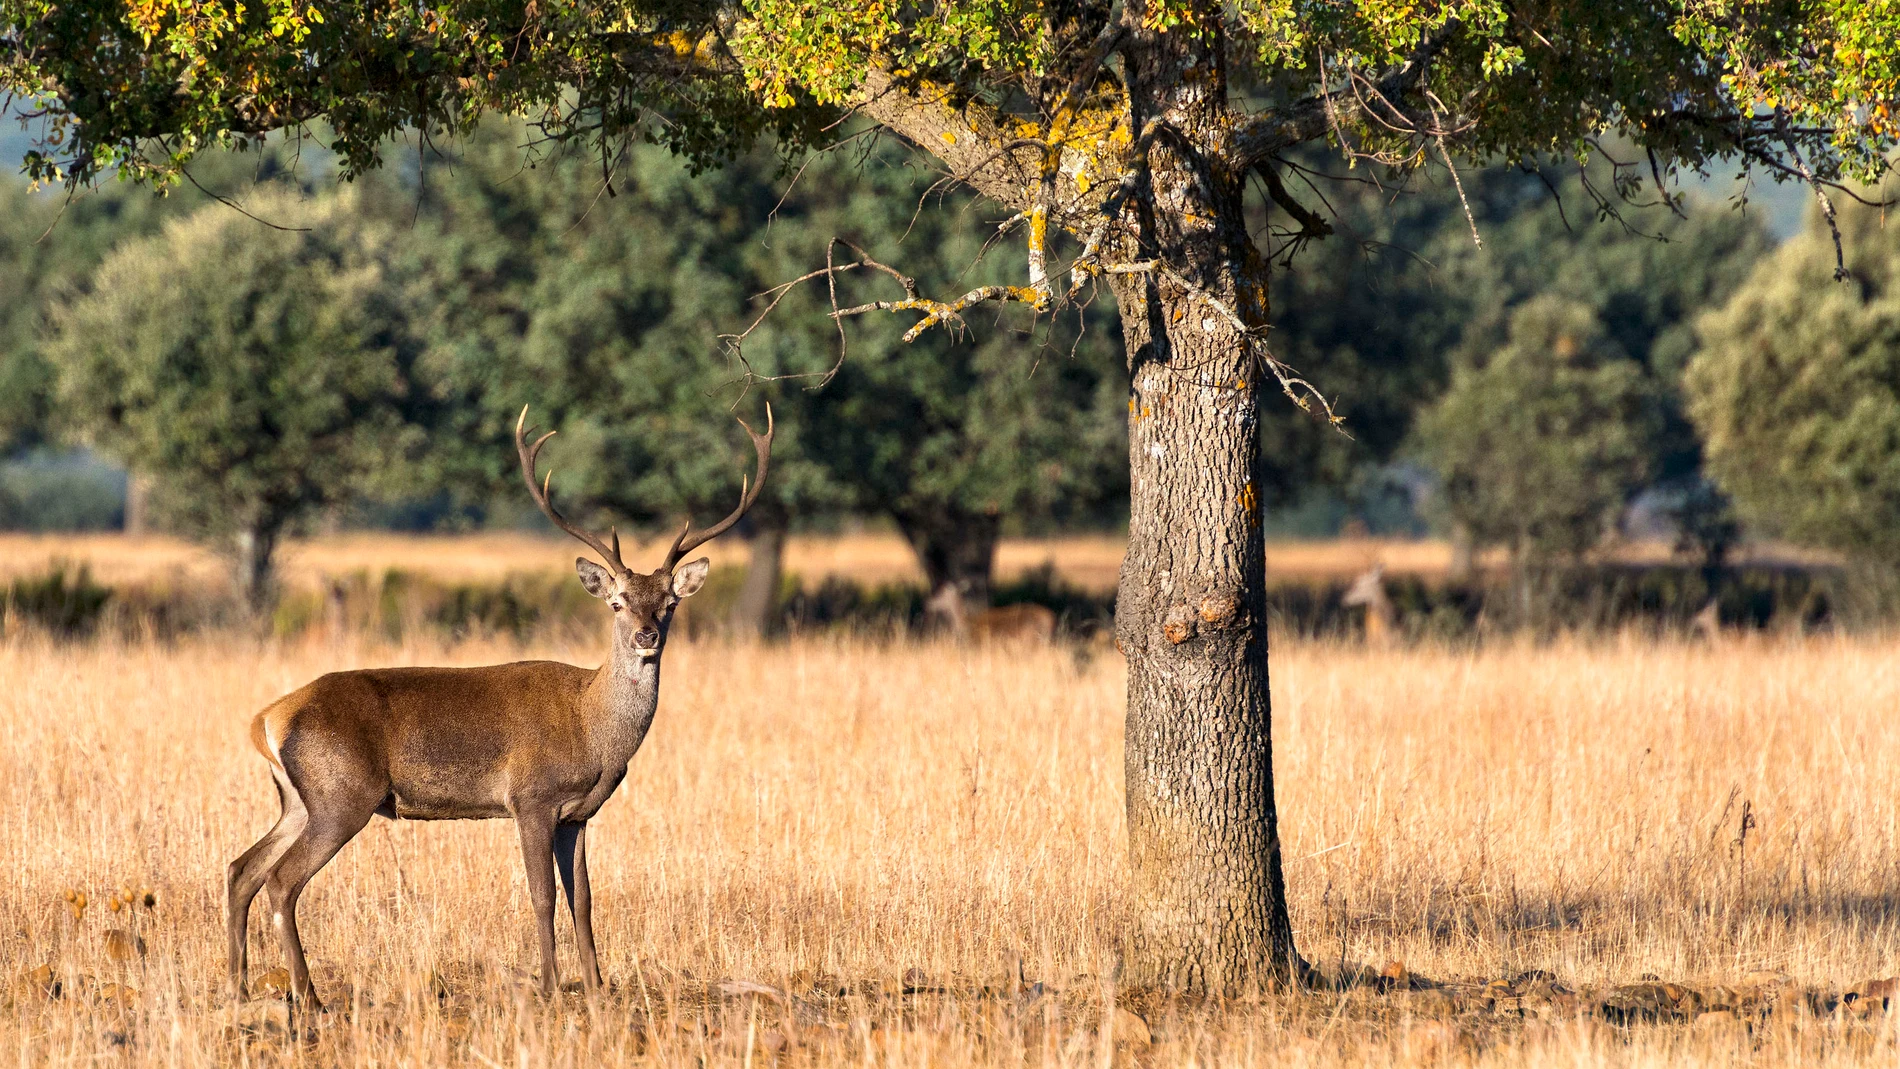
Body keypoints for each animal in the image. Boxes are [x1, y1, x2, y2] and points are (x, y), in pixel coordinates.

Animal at [228, 404, 771, 1010]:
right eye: (617, 601)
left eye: (671, 602)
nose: (646, 636)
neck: (593, 731)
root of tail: (266, 719)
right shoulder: (530, 797)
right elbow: (542, 895)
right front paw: (551, 987)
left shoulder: (578, 814)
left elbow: (584, 898)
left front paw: (597, 988)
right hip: (341, 794)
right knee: (281, 881)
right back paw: (309, 998)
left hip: (298, 797)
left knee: (242, 867)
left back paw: (238, 984)